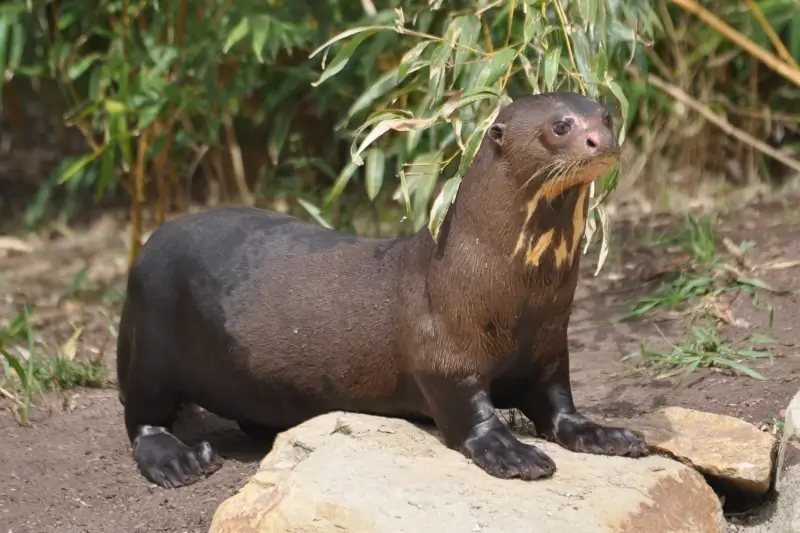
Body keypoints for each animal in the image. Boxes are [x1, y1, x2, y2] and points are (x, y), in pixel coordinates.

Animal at [116, 91, 648, 489]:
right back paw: (178, 460)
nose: (601, 140)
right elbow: (470, 413)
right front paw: (513, 452)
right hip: (152, 342)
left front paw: (607, 433)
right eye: (560, 125)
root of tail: (145, 247)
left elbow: (560, 406)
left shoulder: (549, 348)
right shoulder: (443, 356)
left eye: (606, 115)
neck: (511, 297)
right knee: (141, 414)